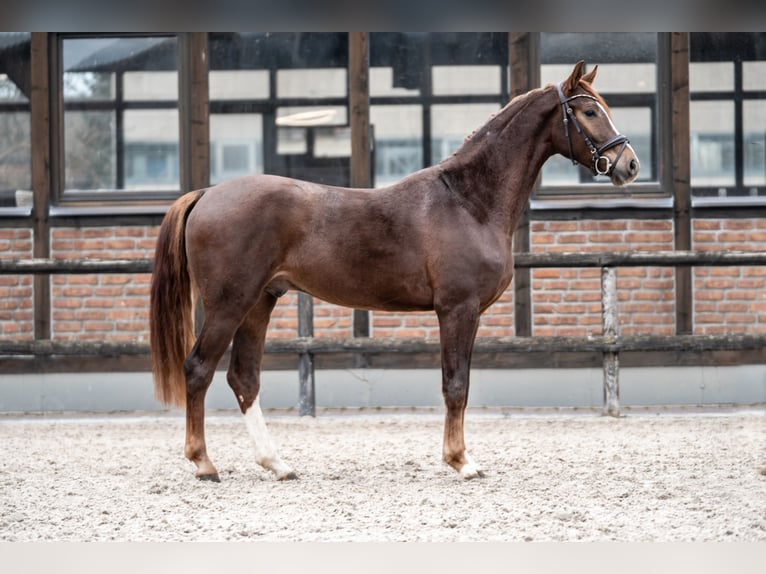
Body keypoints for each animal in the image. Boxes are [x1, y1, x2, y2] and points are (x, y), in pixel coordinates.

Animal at [150, 62, 640, 482]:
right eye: (590, 111)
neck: (468, 201)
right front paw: (461, 462)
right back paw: (204, 464)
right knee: (198, 369)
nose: (629, 164)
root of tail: (207, 194)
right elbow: (455, 385)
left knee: (243, 378)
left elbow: (457, 384)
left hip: (259, 303)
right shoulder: (457, 310)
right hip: (229, 304)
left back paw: (278, 464)